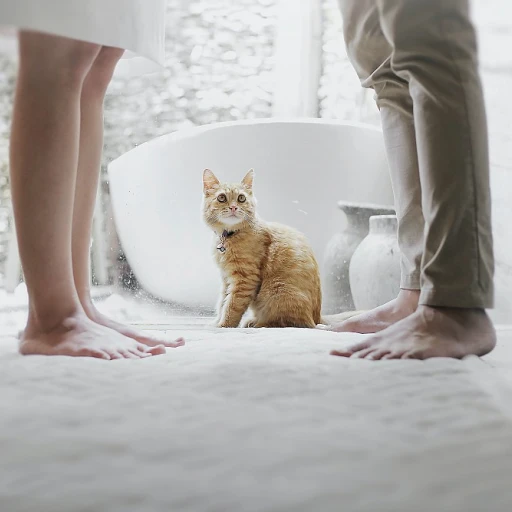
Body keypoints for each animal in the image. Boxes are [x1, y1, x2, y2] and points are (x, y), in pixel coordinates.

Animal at [203, 168, 320, 328]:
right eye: (221, 198)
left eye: (241, 198)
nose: (233, 207)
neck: (228, 236)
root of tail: (317, 319)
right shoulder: (226, 278)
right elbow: (222, 302)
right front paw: (216, 321)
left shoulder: (245, 279)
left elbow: (231, 305)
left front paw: (224, 325)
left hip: (277, 291)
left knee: (283, 321)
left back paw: (256, 323)